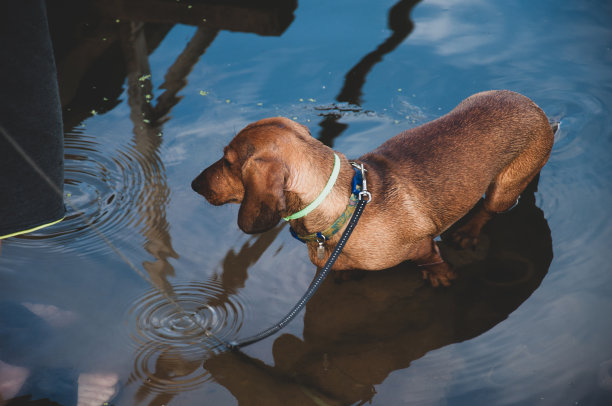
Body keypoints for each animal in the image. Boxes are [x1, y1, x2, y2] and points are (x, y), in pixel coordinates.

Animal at [191, 89, 556, 286]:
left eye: (228, 161)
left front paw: (440, 276)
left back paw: (467, 232)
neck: (344, 211)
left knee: (488, 209)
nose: (194, 184)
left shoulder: (422, 246)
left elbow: (431, 260)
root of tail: (536, 108)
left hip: (503, 190)